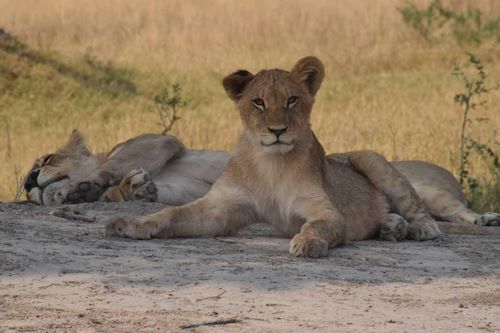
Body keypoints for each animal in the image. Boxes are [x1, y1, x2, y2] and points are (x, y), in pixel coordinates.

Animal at [24, 55, 500, 255]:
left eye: (43, 159)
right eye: (257, 102)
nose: (27, 183)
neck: (270, 164)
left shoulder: (161, 141)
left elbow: (322, 226)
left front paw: (307, 242)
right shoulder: (220, 207)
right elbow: (167, 214)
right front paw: (129, 222)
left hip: (376, 162)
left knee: (431, 208)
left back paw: (422, 226)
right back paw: (392, 227)